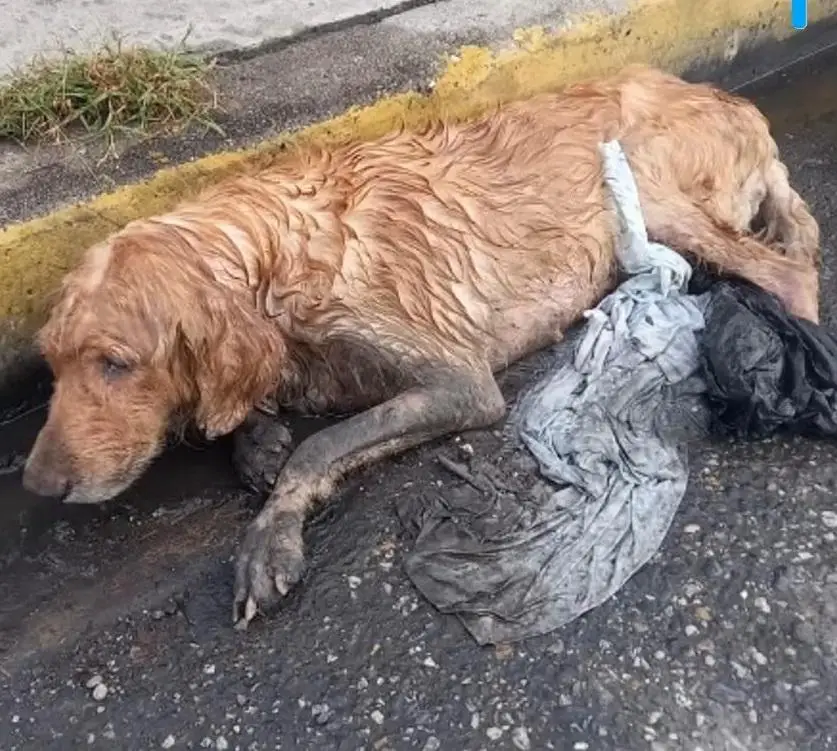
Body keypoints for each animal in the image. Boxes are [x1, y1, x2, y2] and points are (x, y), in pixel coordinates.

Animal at [21, 66, 824, 628]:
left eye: (116, 364)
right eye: (52, 364)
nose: (36, 485)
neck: (269, 260)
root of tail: (736, 105)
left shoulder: (458, 381)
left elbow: (322, 445)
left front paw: (271, 533)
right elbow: (250, 412)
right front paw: (256, 439)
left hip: (645, 188)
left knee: (790, 271)